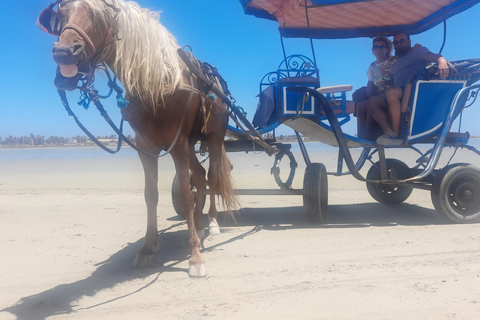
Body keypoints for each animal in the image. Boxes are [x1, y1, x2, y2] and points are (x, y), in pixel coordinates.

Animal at [37, 0, 238, 278]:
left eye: (99, 16)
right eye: (61, 16)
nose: (63, 52)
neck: (157, 84)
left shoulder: (177, 146)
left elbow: (185, 196)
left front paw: (195, 256)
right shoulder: (146, 148)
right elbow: (150, 196)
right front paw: (148, 248)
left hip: (214, 139)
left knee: (213, 176)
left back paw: (213, 222)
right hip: (189, 144)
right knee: (199, 176)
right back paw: (197, 221)